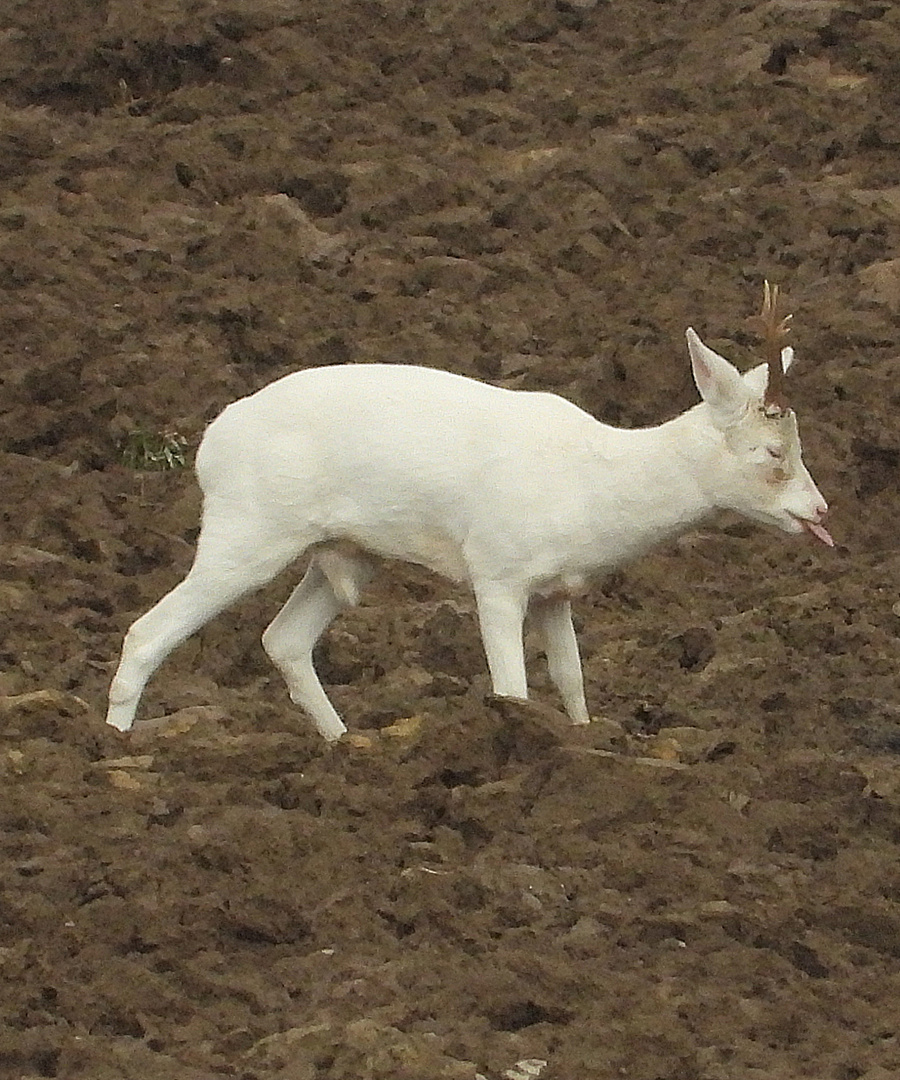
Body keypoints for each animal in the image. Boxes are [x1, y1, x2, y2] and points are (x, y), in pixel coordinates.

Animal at [109, 285, 834, 743]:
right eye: (773, 451)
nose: (821, 511)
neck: (593, 488)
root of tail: (209, 443)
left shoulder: (556, 591)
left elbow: (572, 683)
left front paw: (582, 745)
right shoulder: (498, 571)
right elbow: (512, 688)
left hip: (347, 554)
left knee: (282, 639)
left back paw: (344, 746)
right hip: (249, 529)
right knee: (147, 630)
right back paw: (113, 745)